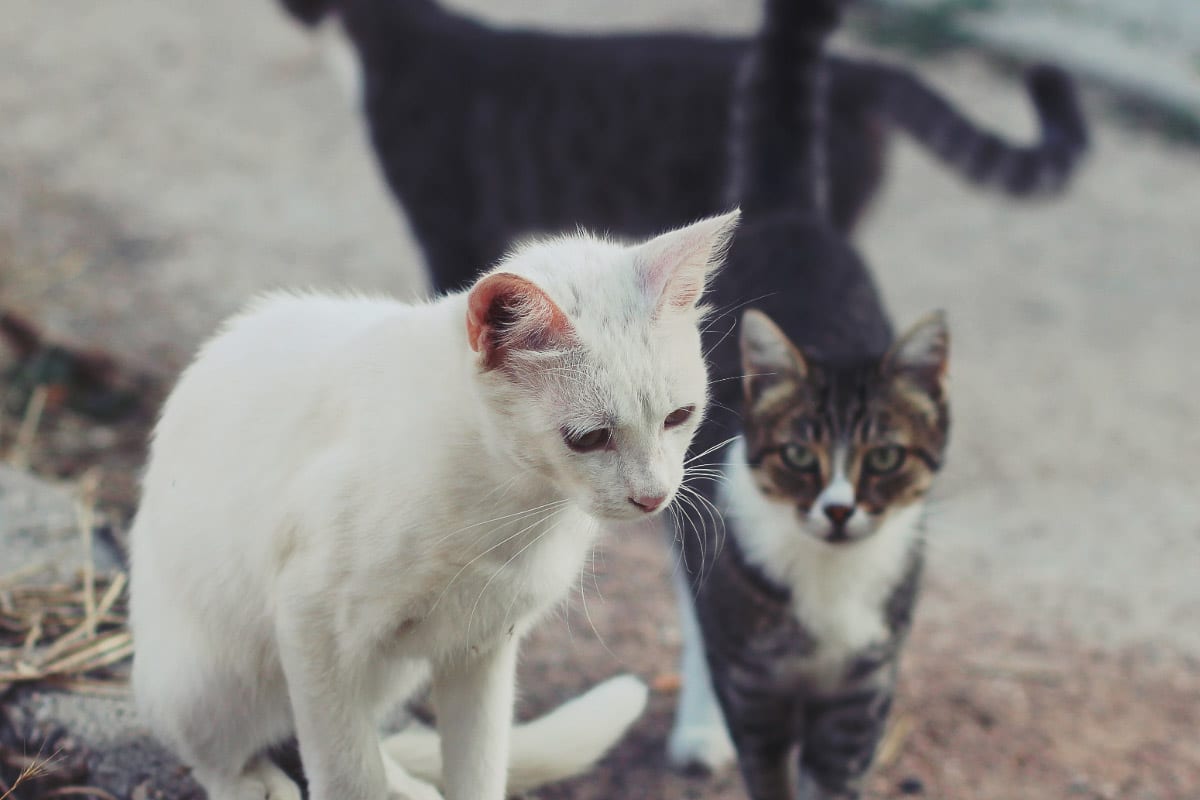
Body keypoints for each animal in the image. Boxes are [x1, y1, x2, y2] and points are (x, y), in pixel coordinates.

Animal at [126, 209, 734, 796]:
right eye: (588, 438)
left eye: (679, 416)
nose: (653, 495)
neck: (511, 505)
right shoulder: (312, 623)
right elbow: (348, 778)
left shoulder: (481, 648)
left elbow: (475, 770)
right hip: (210, 683)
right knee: (224, 751)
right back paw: (252, 782)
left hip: (388, 670)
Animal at [672, 1, 950, 800]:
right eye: (799, 454)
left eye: (884, 458)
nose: (838, 509)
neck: (828, 583)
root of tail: (788, 210)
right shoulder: (755, 689)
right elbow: (766, 766)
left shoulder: (863, 695)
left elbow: (838, 776)